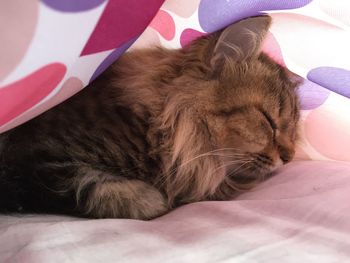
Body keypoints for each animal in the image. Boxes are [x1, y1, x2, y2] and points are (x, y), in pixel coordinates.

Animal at [0, 16, 300, 221]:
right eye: (268, 121)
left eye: (291, 130)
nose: (289, 157)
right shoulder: (40, 162)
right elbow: (133, 197)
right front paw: (163, 200)